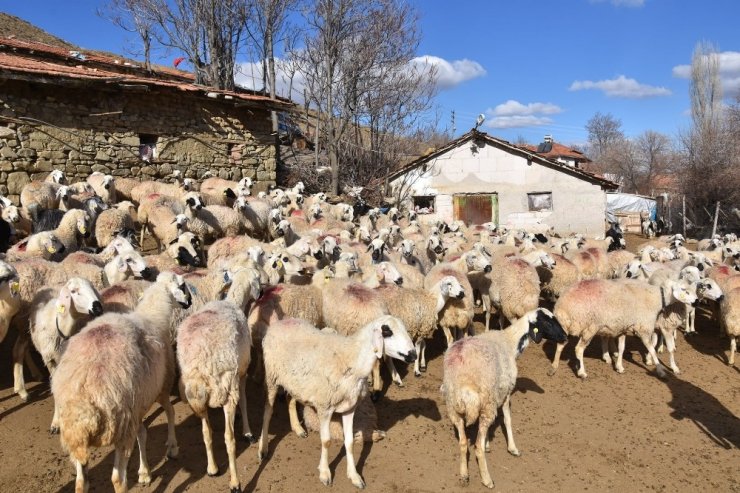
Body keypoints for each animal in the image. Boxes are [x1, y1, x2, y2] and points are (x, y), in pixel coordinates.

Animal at [52, 270, 194, 490]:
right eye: (182, 285)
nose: (190, 302)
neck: (153, 315)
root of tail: (83, 411)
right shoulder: (161, 385)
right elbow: (169, 413)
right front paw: (172, 447)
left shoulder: (137, 406)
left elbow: (142, 433)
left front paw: (144, 472)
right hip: (120, 427)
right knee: (118, 479)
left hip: (77, 438)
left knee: (81, 482)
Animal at [177, 270, 264, 492]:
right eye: (257, 279)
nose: (262, 293)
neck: (233, 302)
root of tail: (200, 364)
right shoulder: (241, 374)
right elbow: (244, 402)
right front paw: (248, 432)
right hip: (226, 391)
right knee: (228, 438)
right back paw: (235, 482)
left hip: (198, 394)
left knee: (206, 433)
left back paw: (212, 468)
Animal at [258, 316, 414, 488]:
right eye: (387, 332)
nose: (413, 354)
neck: (352, 359)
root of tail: (281, 322)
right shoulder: (324, 407)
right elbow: (326, 441)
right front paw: (325, 473)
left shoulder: (349, 408)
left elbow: (350, 442)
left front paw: (354, 476)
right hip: (272, 377)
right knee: (267, 413)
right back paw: (263, 448)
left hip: (294, 381)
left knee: (290, 400)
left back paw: (297, 428)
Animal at [442, 310, 568, 486]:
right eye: (547, 323)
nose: (565, 337)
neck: (510, 342)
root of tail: (463, 383)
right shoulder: (506, 392)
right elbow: (507, 420)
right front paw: (513, 448)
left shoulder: (495, 395)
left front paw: (488, 442)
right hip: (485, 404)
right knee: (477, 448)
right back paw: (487, 480)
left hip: (455, 409)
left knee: (463, 443)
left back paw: (464, 475)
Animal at [552, 276, 696, 376]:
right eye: (684, 290)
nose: (696, 301)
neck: (657, 298)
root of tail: (562, 306)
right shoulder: (644, 328)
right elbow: (653, 349)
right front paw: (661, 369)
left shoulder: (623, 327)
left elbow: (622, 348)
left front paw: (619, 366)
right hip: (590, 327)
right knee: (578, 349)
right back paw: (582, 372)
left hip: (564, 326)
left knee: (560, 344)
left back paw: (554, 366)